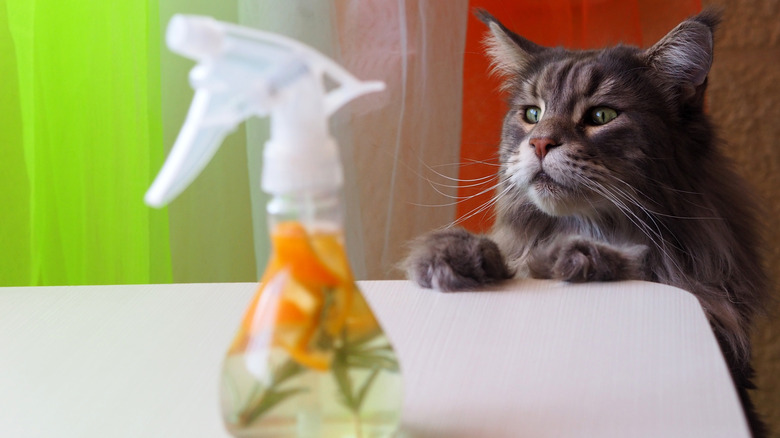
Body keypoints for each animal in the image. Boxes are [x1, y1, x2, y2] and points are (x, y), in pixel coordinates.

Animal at [406, 9, 772, 434]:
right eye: (532, 114)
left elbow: (628, 258)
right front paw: (453, 254)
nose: (540, 143)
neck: (581, 226)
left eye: (602, 116)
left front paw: (575, 256)